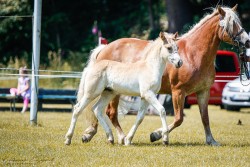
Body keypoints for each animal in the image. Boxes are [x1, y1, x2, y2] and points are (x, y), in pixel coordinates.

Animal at [79, 5, 249, 146]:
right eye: (231, 24)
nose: (247, 41)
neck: (193, 54)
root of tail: (105, 48)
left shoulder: (203, 92)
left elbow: (205, 117)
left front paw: (211, 140)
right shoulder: (178, 92)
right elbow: (178, 119)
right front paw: (157, 134)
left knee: (100, 111)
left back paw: (93, 134)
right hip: (113, 92)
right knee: (109, 112)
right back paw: (118, 137)